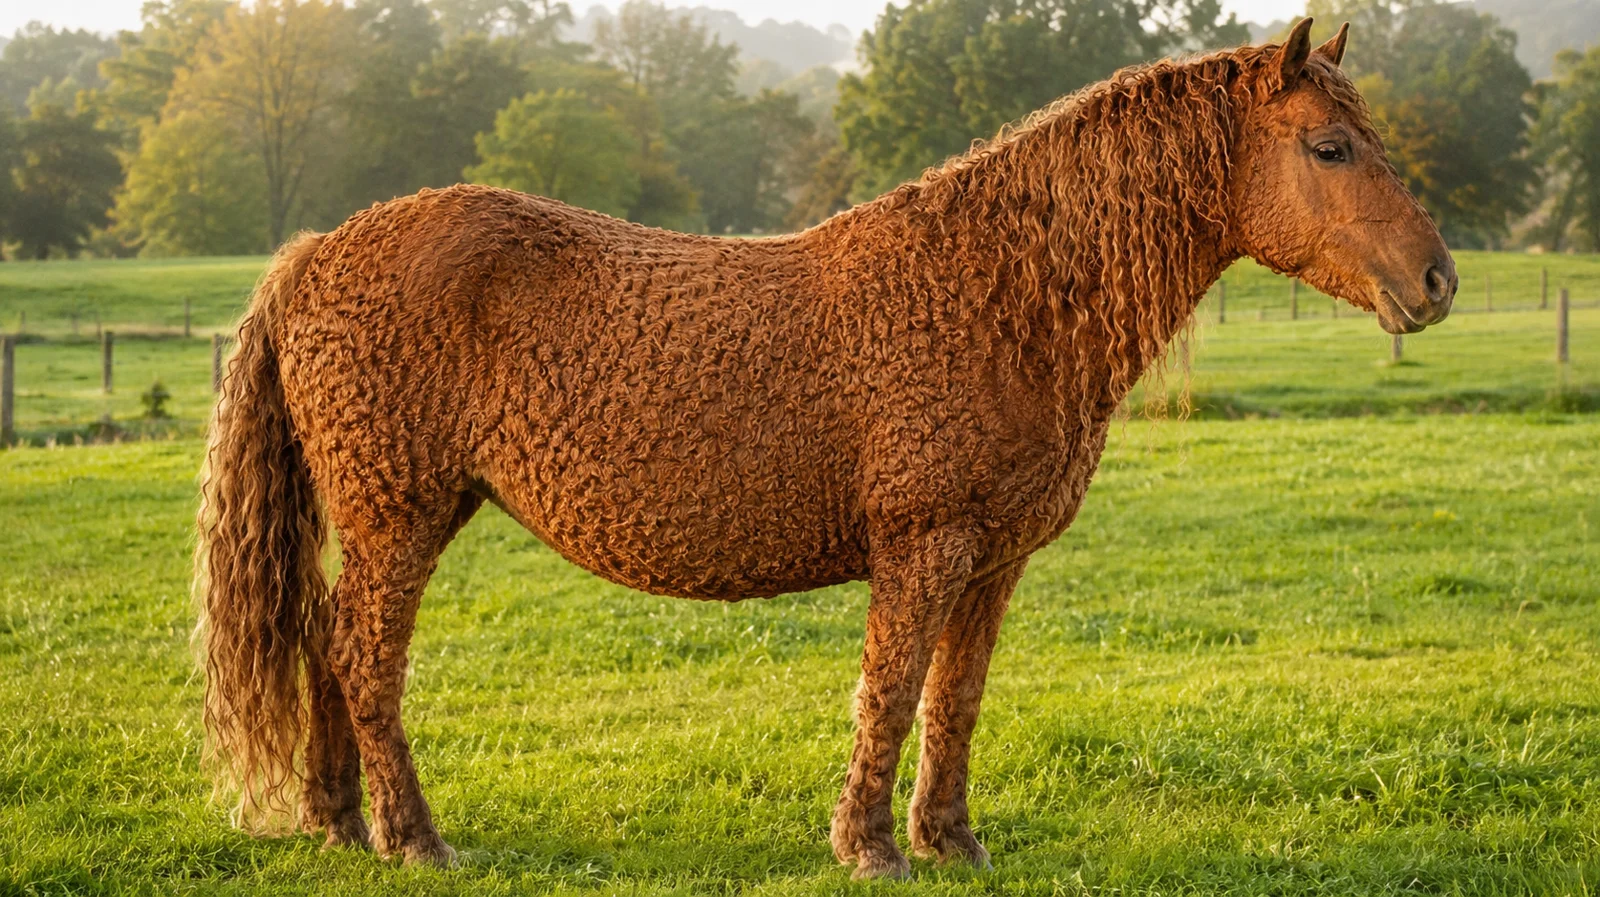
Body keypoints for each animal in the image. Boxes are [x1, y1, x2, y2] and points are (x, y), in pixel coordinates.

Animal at [195, 18, 1456, 879]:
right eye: (1330, 148)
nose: (1437, 281)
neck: (999, 295)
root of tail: (318, 251)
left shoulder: (992, 563)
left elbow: (955, 700)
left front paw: (950, 841)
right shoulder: (922, 546)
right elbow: (888, 693)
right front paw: (870, 848)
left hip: (394, 517)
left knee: (323, 645)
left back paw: (337, 824)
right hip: (399, 514)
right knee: (363, 657)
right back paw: (413, 838)